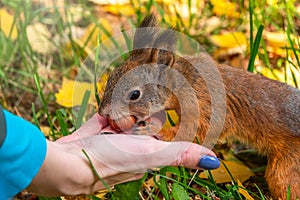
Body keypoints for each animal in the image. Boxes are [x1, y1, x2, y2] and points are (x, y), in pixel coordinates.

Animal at [98, 14, 300, 199]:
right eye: (111, 77)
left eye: (135, 94)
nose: (102, 112)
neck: (181, 81)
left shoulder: (205, 102)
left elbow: (198, 129)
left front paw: (156, 130)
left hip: (285, 171)